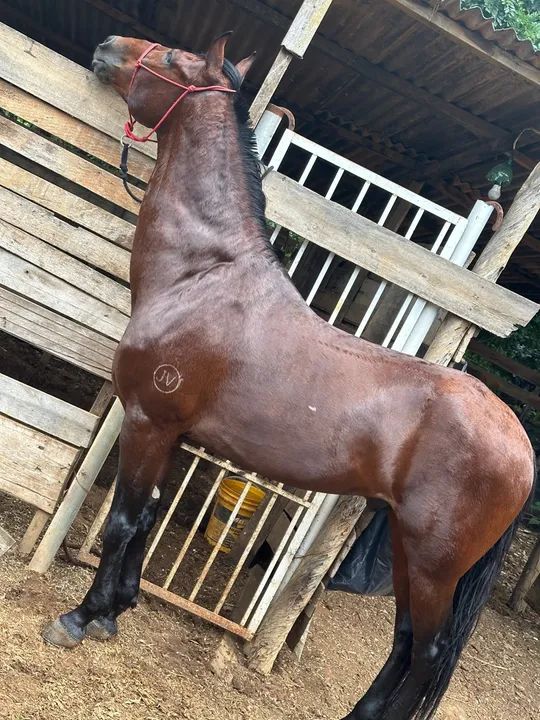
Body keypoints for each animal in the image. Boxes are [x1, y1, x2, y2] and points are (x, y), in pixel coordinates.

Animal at [42, 33, 535, 720]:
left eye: (169, 59)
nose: (109, 46)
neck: (203, 275)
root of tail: (519, 441)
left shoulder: (147, 422)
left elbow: (122, 519)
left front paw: (82, 617)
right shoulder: (173, 436)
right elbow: (146, 518)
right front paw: (117, 610)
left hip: (436, 564)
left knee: (430, 653)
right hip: (407, 548)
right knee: (406, 639)